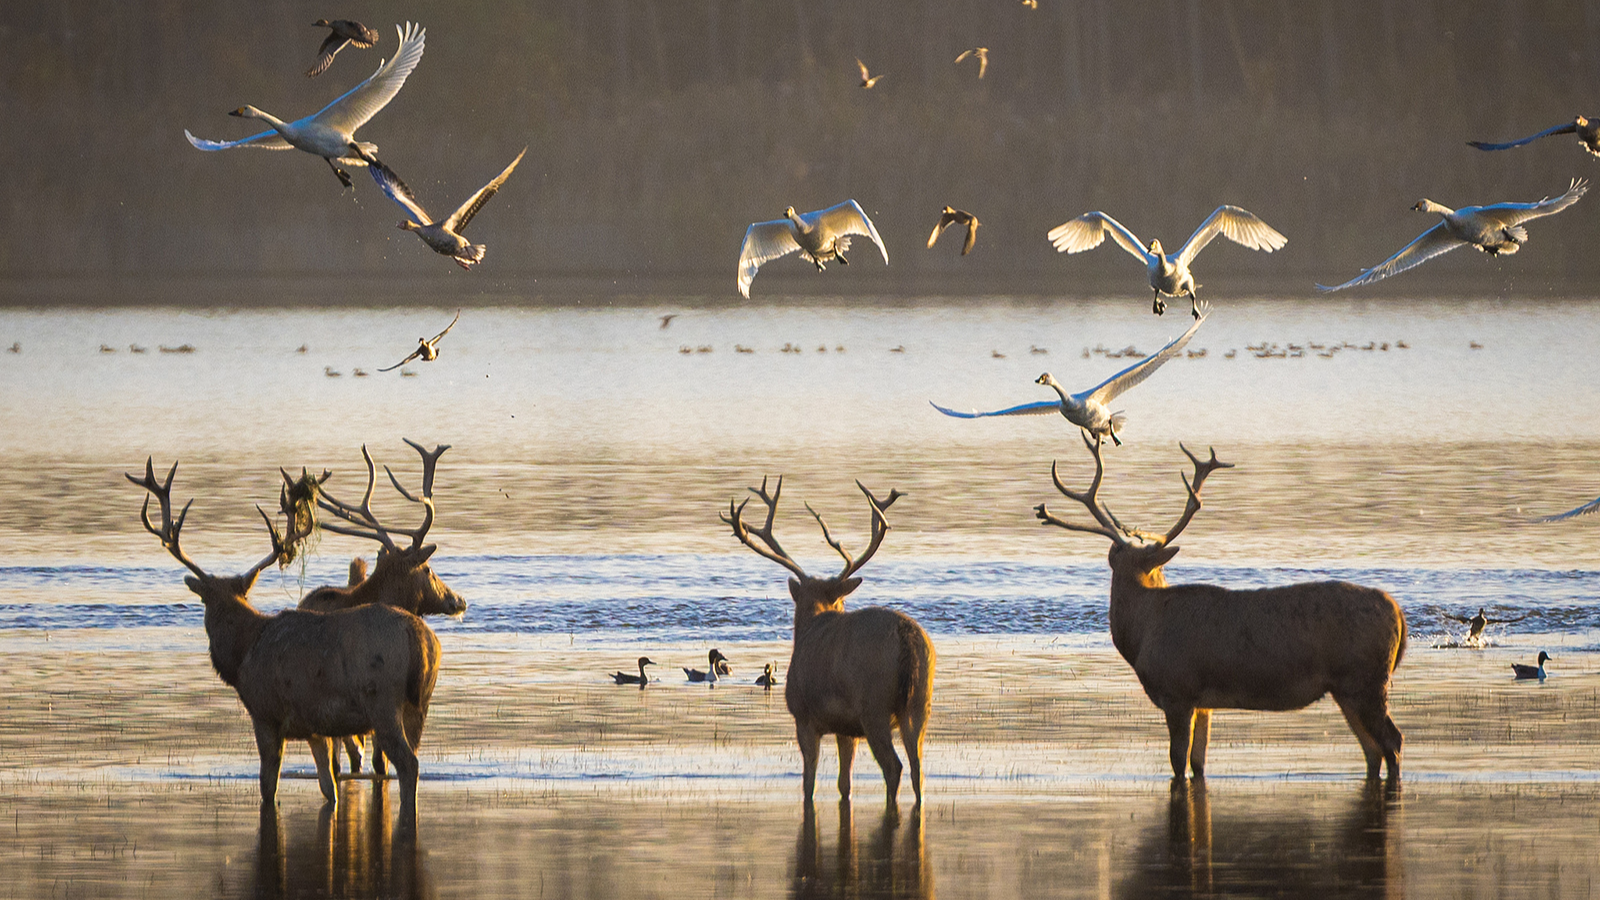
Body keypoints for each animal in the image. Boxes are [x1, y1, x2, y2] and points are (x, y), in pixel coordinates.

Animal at [128, 458, 441, 813]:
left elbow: (268, 785)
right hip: (420, 704)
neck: (242, 654)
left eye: (205, 602)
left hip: (381, 701)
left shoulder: (266, 714)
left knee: (406, 764)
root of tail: (419, 638)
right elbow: (329, 786)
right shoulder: (315, 728)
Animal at [723, 477, 935, 808]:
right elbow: (844, 784)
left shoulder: (804, 716)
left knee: (894, 767)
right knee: (918, 769)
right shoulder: (846, 728)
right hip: (920, 703)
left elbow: (808, 782)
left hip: (873, 705)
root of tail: (906, 637)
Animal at [1034, 435, 1406, 783]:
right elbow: (1199, 763)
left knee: (1393, 741)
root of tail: (1398, 614)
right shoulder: (1204, 704)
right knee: (1372, 751)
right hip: (1346, 688)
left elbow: (1177, 761)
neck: (1142, 633)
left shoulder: (1177, 690)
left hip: (1366, 679)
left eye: (1118, 553)